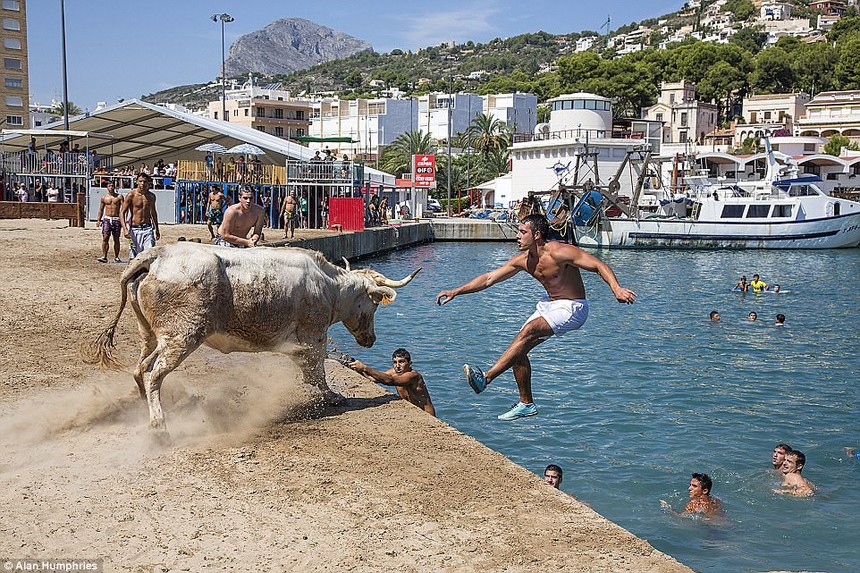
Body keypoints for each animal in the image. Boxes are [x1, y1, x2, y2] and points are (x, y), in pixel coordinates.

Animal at [82, 241, 418, 428]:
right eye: (374, 304)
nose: (371, 340)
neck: (329, 286)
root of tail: (157, 256)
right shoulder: (313, 336)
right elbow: (317, 370)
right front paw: (331, 396)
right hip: (182, 336)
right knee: (153, 374)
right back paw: (158, 423)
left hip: (151, 335)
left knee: (140, 368)